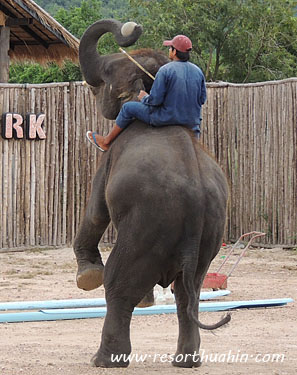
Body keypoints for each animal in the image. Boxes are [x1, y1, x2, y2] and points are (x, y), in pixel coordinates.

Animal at [73, 19, 229, 368]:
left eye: (107, 71)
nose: (129, 29)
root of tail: (195, 205)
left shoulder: (111, 157)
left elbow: (96, 210)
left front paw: (87, 276)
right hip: (208, 236)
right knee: (189, 293)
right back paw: (186, 361)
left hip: (150, 225)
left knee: (119, 285)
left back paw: (104, 360)